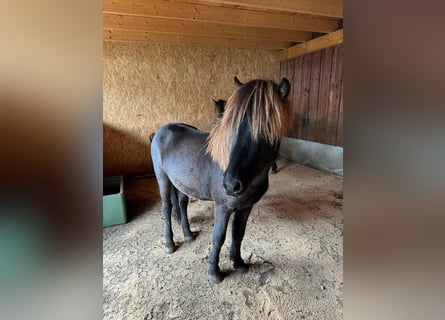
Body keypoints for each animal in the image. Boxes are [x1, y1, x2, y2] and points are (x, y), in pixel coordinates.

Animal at [151, 77, 294, 282]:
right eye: (233, 125)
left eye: (266, 129)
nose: (231, 185)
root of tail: (162, 130)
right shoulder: (222, 207)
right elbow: (218, 237)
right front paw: (214, 272)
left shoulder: (246, 207)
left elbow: (238, 234)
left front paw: (239, 263)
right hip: (162, 178)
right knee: (167, 208)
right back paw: (170, 244)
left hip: (182, 184)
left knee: (183, 204)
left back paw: (188, 235)